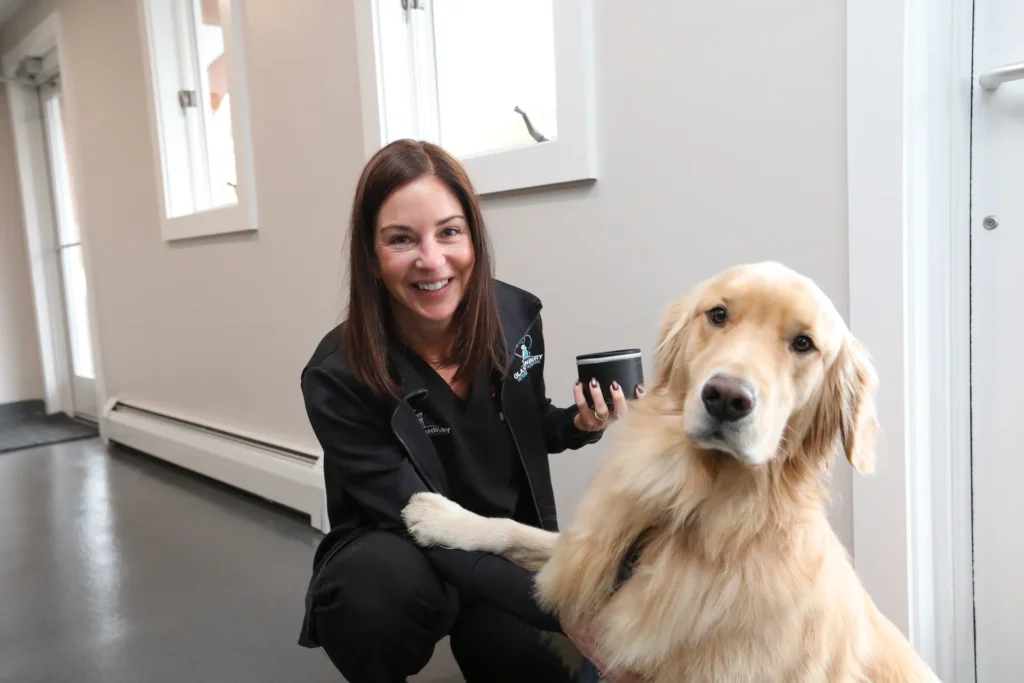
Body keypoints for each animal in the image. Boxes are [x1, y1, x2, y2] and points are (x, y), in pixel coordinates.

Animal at [401, 262, 940, 682]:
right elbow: (519, 532)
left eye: (804, 344)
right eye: (718, 314)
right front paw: (441, 516)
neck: (693, 508)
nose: (725, 397)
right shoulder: (590, 559)